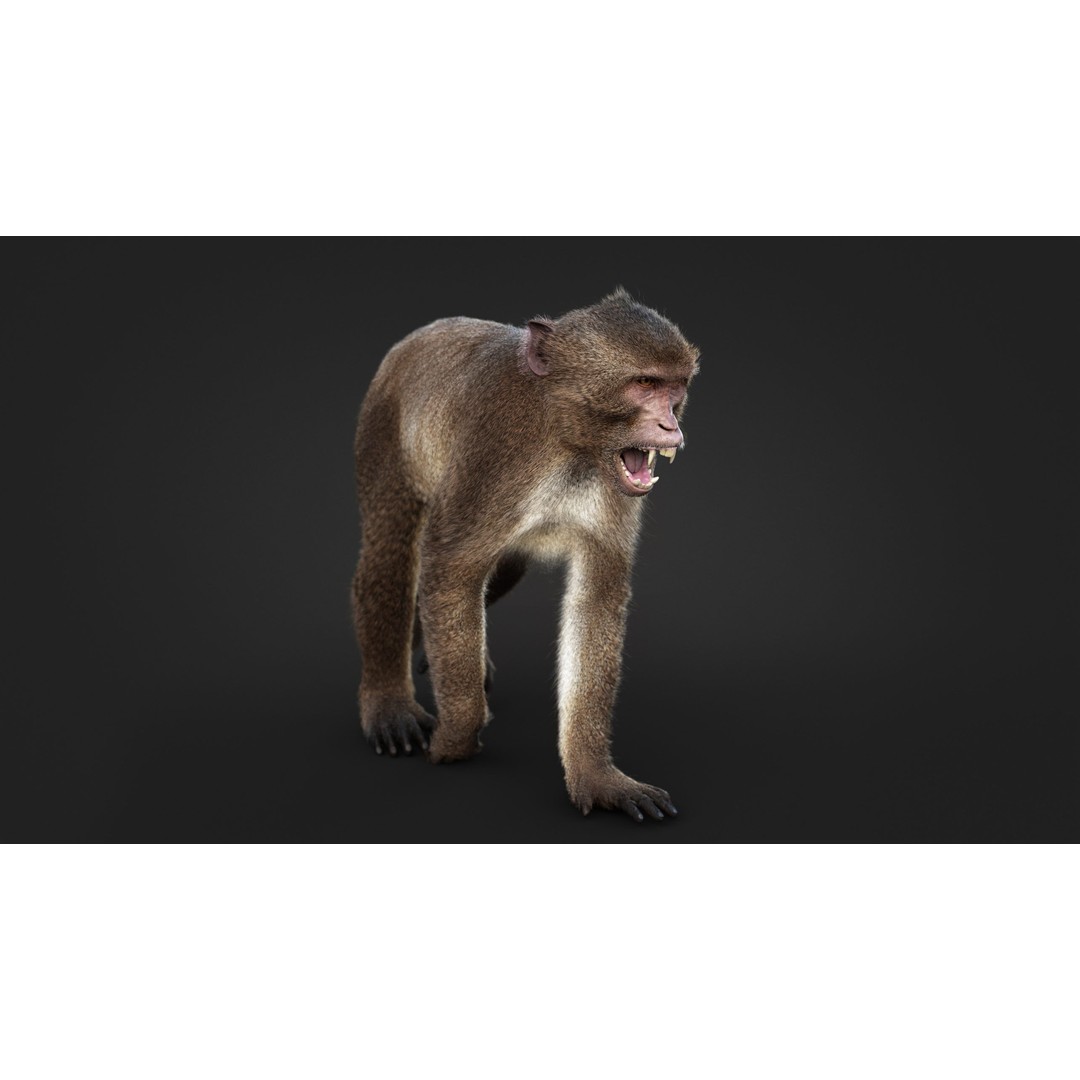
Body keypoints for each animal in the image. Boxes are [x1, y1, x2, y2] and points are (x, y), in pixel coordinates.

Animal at [351, 288, 699, 821]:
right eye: (644, 384)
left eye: (675, 386)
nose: (671, 424)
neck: (566, 436)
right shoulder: (497, 454)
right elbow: (449, 569)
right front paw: (456, 738)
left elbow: (595, 599)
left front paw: (595, 777)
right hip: (382, 426)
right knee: (393, 544)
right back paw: (387, 697)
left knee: (504, 568)